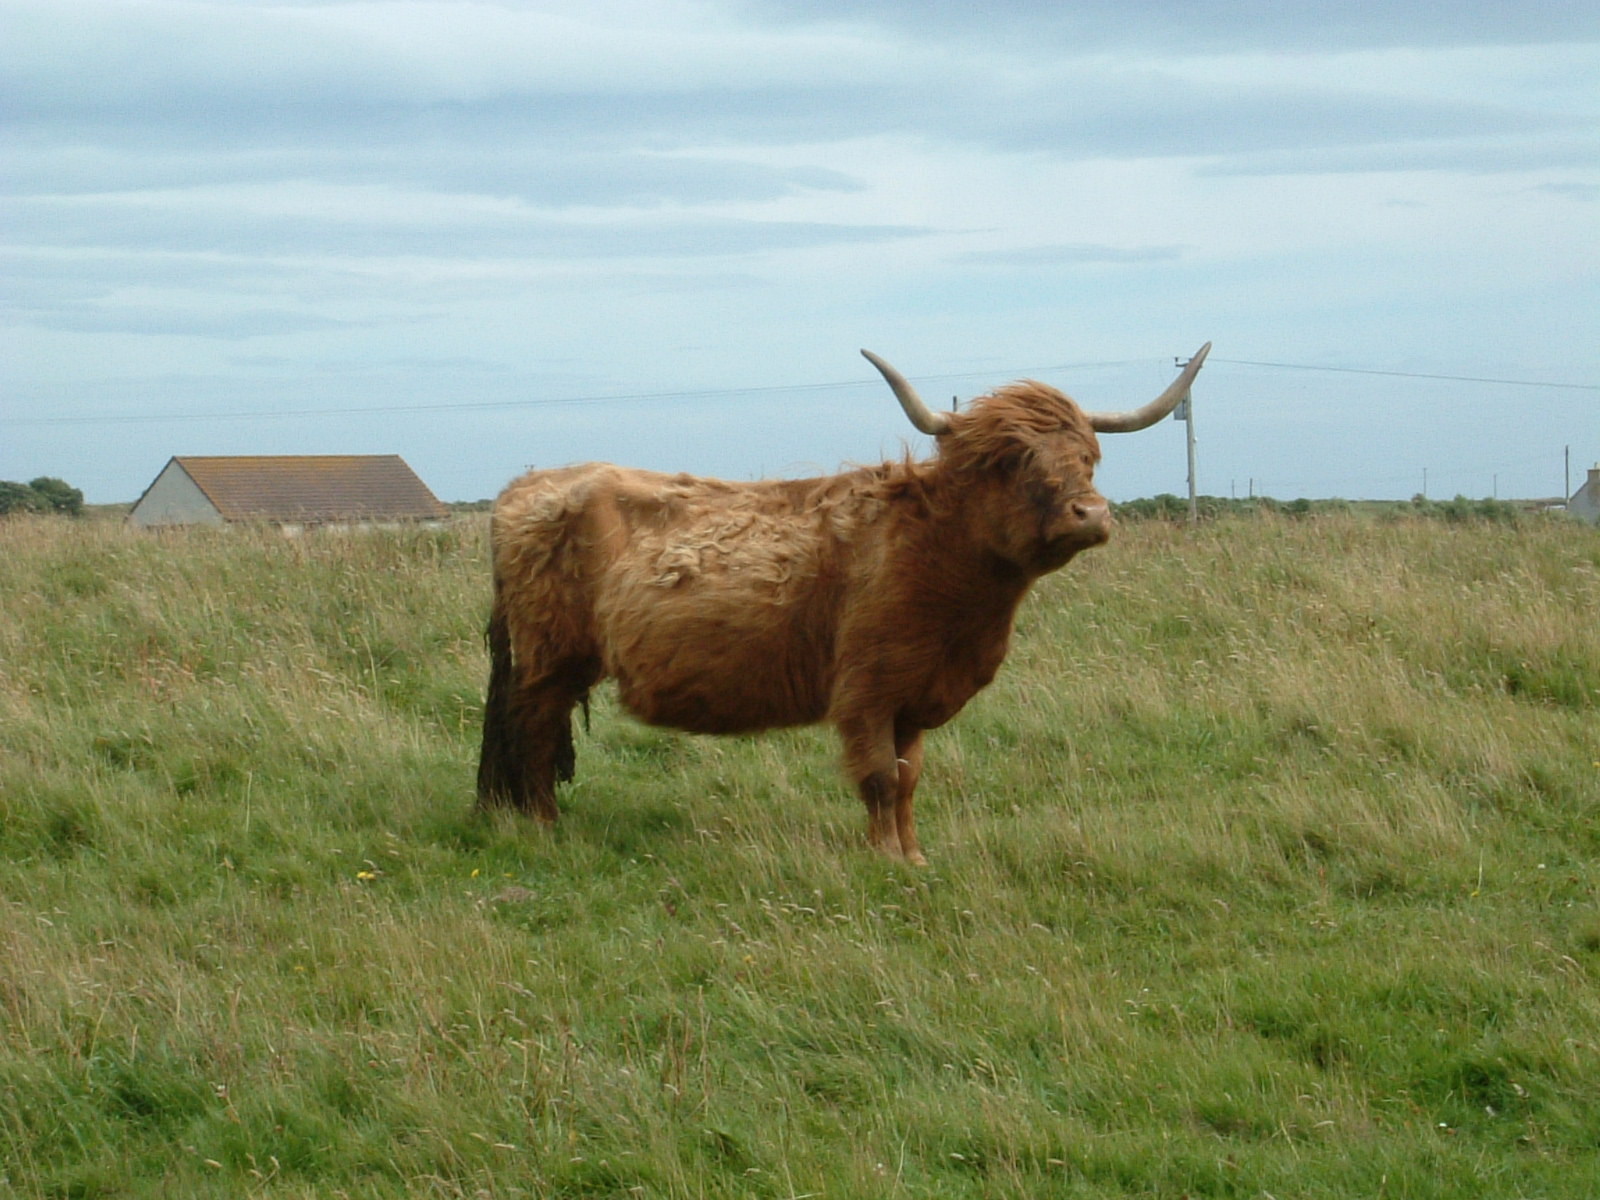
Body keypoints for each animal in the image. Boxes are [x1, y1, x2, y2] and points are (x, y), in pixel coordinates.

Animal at [480, 342, 1203, 857]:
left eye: (1089, 456)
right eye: (1010, 461)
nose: (1092, 513)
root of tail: (527, 485)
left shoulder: (916, 693)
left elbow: (909, 778)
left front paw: (914, 856)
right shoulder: (867, 689)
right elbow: (880, 776)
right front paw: (883, 858)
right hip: (546, 659)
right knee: (532, 733)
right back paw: (544, 828)